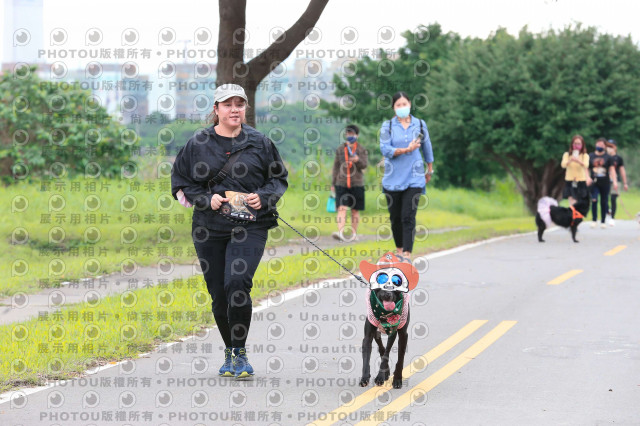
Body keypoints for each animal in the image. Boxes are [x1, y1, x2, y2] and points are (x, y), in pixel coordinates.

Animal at [360, 253, 420, 390]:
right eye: (381, 282)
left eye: (396, 283)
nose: (387, 294)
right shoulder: (368, 335)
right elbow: (367, 357)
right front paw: (365, 377)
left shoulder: (395, 332)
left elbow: (389, 354)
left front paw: (383, 377)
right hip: (376, 332)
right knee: (381, 347)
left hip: (403, 335)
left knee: (399, 356)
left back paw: (396, 377)